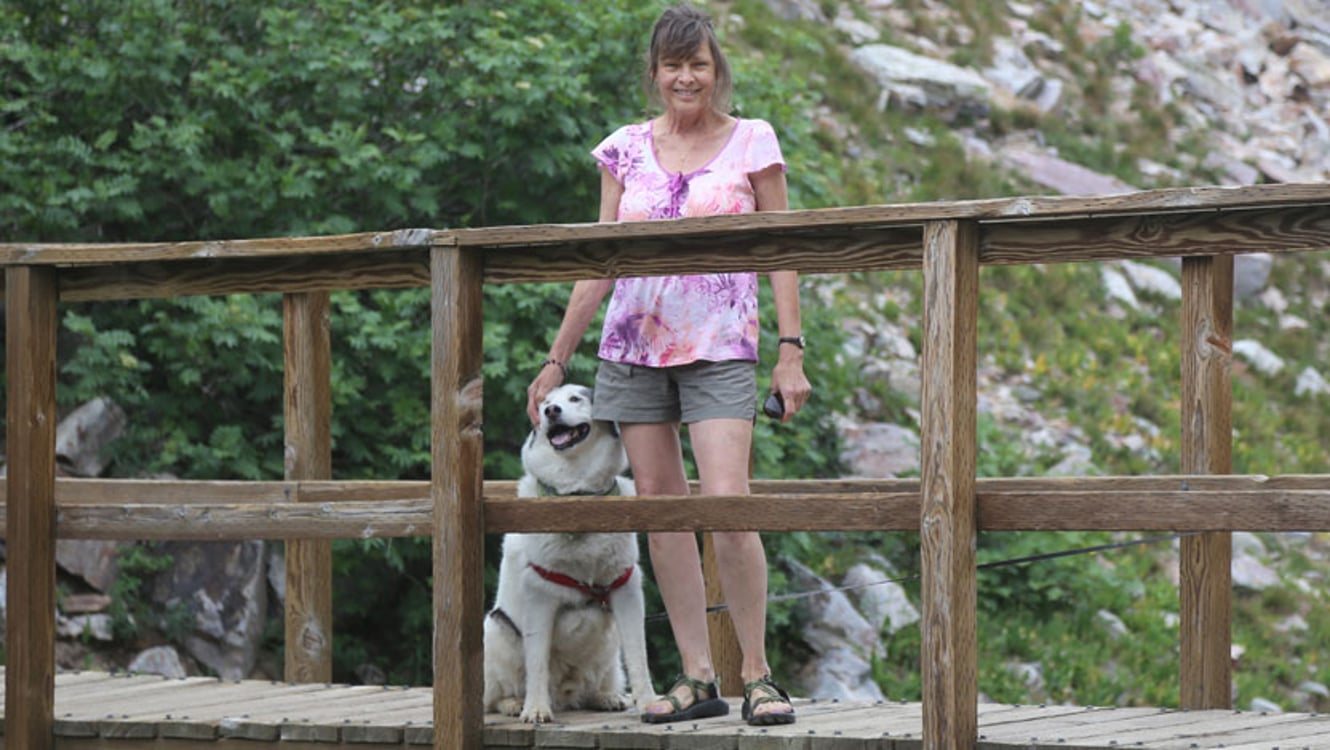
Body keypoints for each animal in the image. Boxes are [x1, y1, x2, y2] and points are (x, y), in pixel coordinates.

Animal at [486, 382, 657, 723]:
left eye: (575, 399)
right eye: (545, 404)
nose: (552, 411)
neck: (577, 499)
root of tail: (564, 695)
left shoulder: (626, 589)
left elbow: (638, 655)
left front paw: (649, 703)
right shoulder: (538, 595)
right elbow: (537, 660)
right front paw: (536, 709)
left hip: (608, 645)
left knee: (595, 684)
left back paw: (607, 697)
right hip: (494, 629)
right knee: (496, 695)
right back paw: (515, 703)